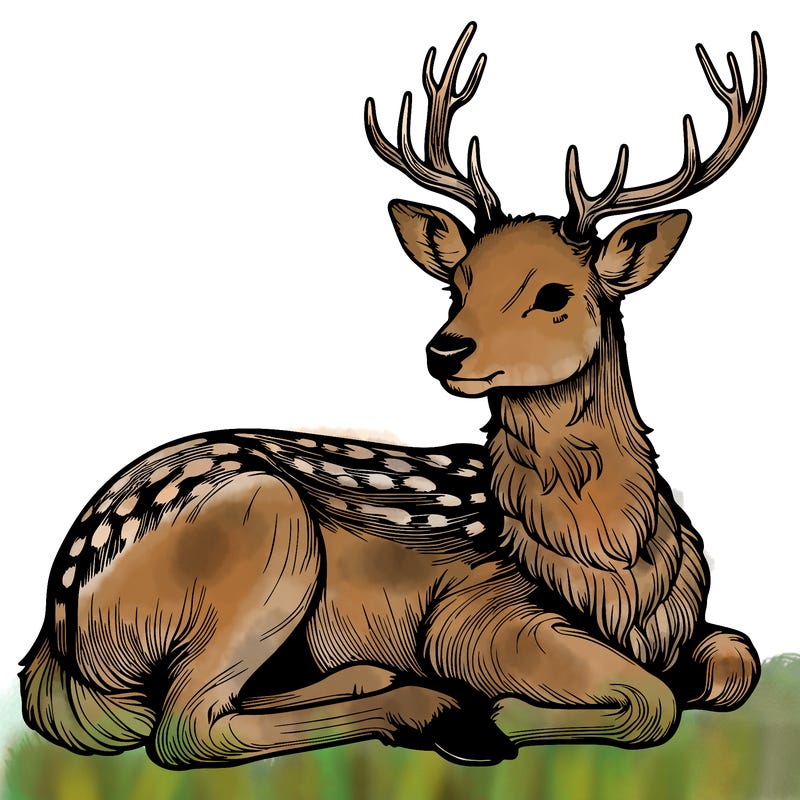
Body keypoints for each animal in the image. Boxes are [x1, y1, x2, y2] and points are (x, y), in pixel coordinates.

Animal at [20, 23, 766, 768]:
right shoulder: (474, 614)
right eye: (457, 283)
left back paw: (380, 679)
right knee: (184, 726)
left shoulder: (694, 626)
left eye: (554, 293)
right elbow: (652, 699)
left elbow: (738, 658)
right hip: (266, 533)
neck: (615, 572)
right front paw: (500, 711)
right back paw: (438, 713)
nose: (445, 349)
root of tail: (52, 638)